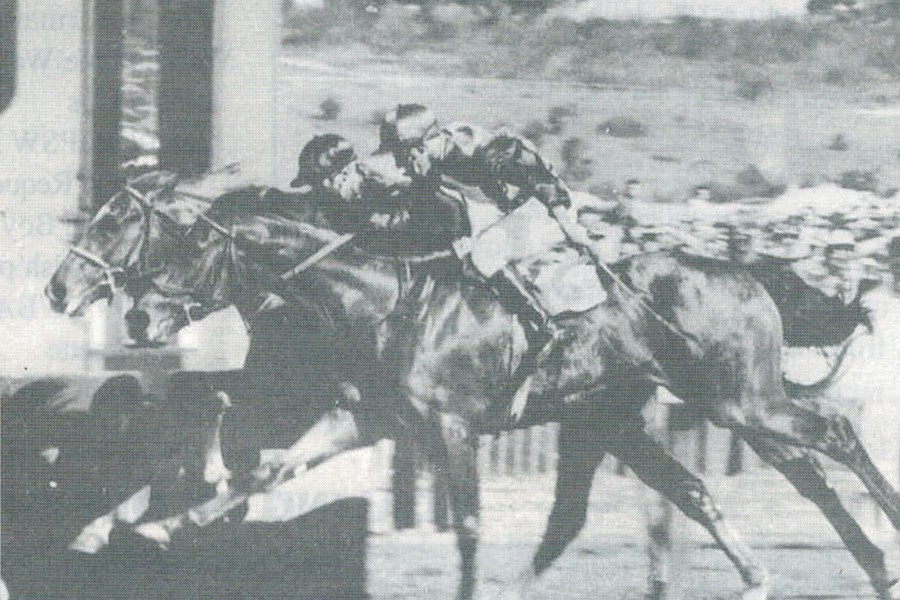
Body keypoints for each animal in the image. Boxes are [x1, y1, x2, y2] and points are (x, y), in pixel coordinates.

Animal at [46, 181, 900, 599]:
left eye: (179, 245)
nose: (139, 314)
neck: (375, 300)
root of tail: (744, 270)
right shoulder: (363, 417)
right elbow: (263, 468)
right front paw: (156, 526)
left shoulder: (449, 429)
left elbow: (464, 527)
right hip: (631, 417)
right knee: (686, 491)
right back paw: (784, 574)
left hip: (736, 398)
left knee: (832, 434)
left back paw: (876, 553)